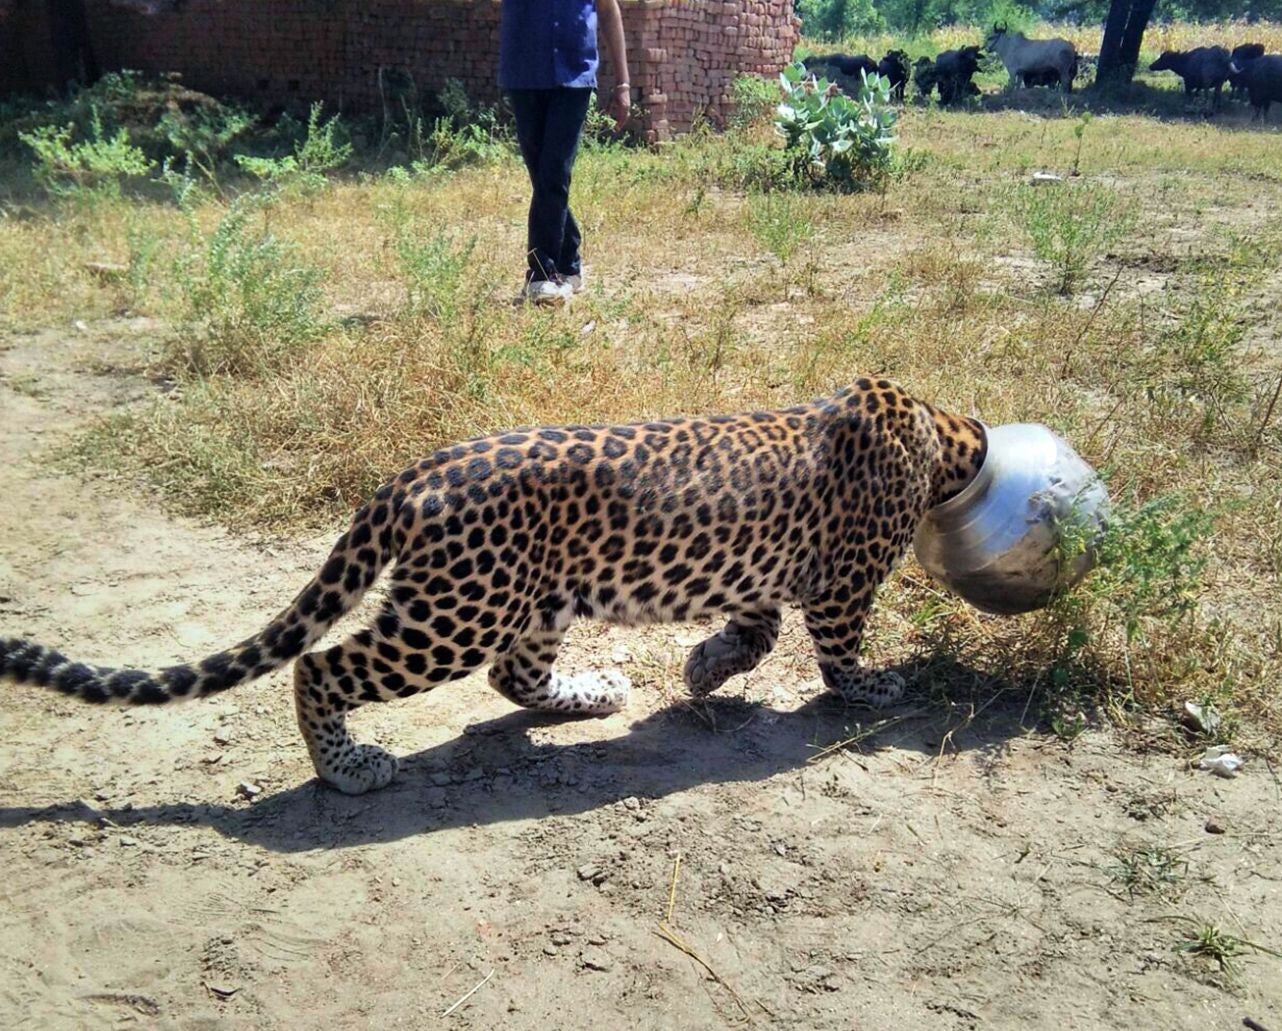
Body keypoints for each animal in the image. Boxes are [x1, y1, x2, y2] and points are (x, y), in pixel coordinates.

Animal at [1, 378, 986, 795]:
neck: (939, 428)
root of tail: (409, 476)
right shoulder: (843, 582)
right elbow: (838, 653)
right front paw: (876, 687)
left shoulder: (760, 578)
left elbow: (754, 631)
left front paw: (701, 668)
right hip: (455, 612)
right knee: (321, 666)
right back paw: (348, 768)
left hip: (535, 597)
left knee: (514, 675)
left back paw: (596, 693)